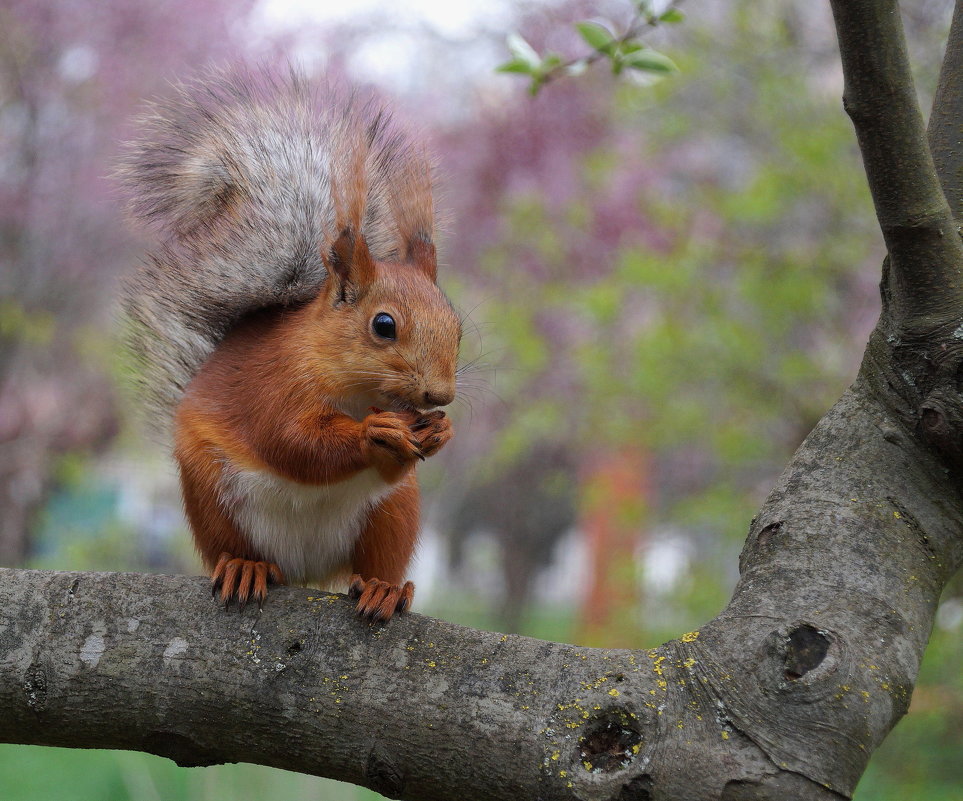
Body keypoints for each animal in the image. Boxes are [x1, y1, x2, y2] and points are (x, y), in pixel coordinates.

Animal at [116, 69, 464, 620]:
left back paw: (383, 589)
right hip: (212, 496)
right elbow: (293, 443)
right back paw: (246, 568)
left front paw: (439, 431)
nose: (440, 396)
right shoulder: (274, 385)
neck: (356, 390)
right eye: (384, 325)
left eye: (457, 326)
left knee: (374, 561)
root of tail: (305, 572)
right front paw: (374, 431)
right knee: (236, 546)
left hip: (392, 513)